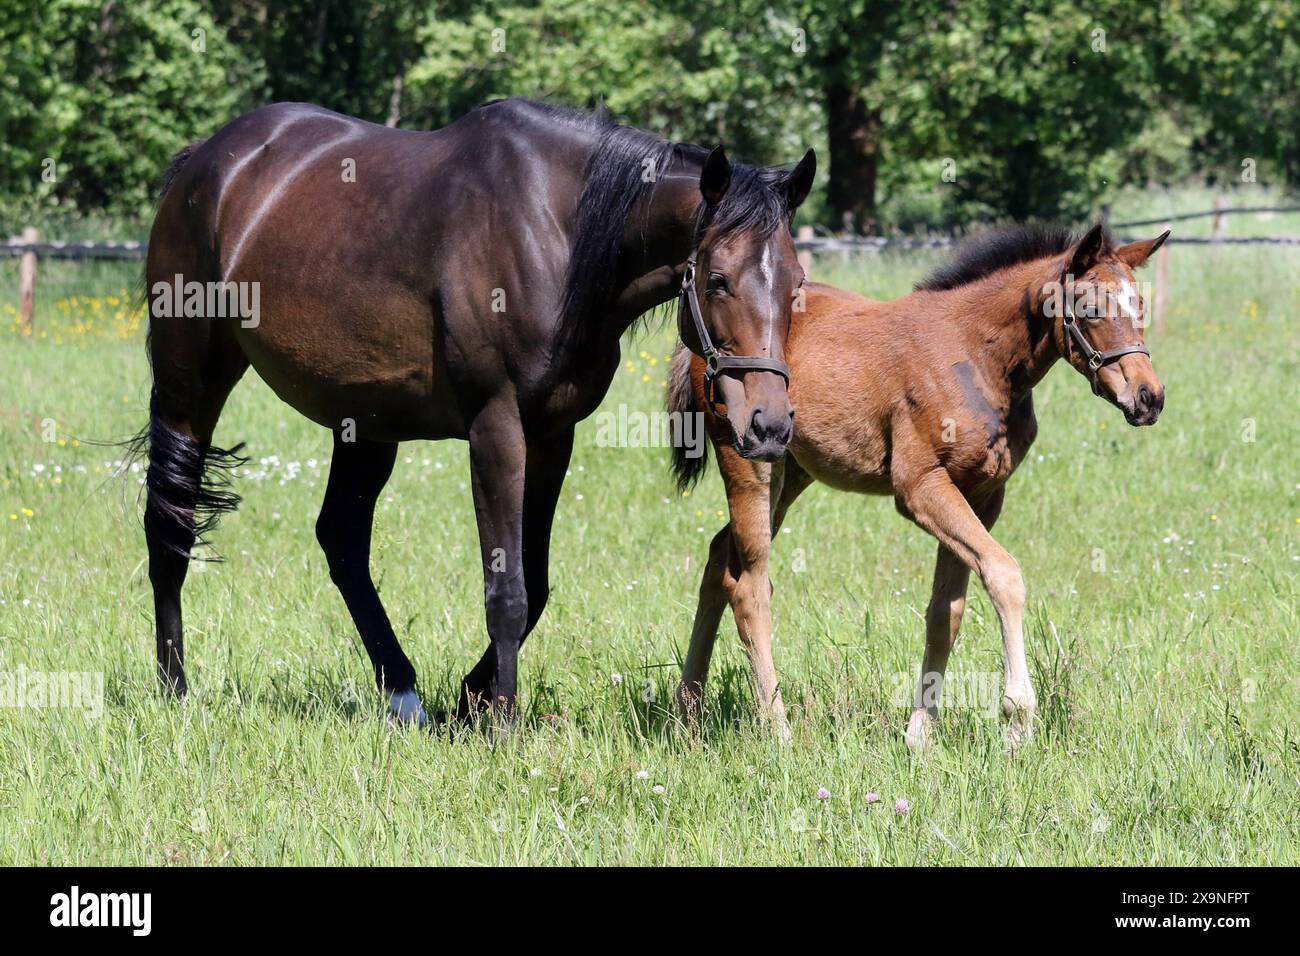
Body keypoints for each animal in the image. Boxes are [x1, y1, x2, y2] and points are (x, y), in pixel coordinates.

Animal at [137, 98, 816, 724]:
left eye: (796, 283)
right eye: (719, 279)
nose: (769, 424)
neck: (557, 231)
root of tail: (203, 162)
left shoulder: (553, 436)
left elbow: (534, 581)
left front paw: (473, 699)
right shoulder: (497, 429)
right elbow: (508, 588)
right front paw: (503, 722)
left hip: (365, 422)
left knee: (342, 541)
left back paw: (403, 692)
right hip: (189, 385)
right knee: (169, 523)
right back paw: (174, 688)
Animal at [668, 222, 1168, 747]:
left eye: (1140, 306)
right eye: (1090, 309)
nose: (1148, 397)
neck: (974, 354)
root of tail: (700, 338)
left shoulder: (982, 495)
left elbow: (945, 612)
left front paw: (919, 735)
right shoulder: (920, 487)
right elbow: (1004, 574)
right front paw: (1018, 718)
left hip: (791, 474)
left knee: (719, 559)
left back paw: (688, 711)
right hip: (748, 463)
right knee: (749, 586)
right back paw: (777, 727)